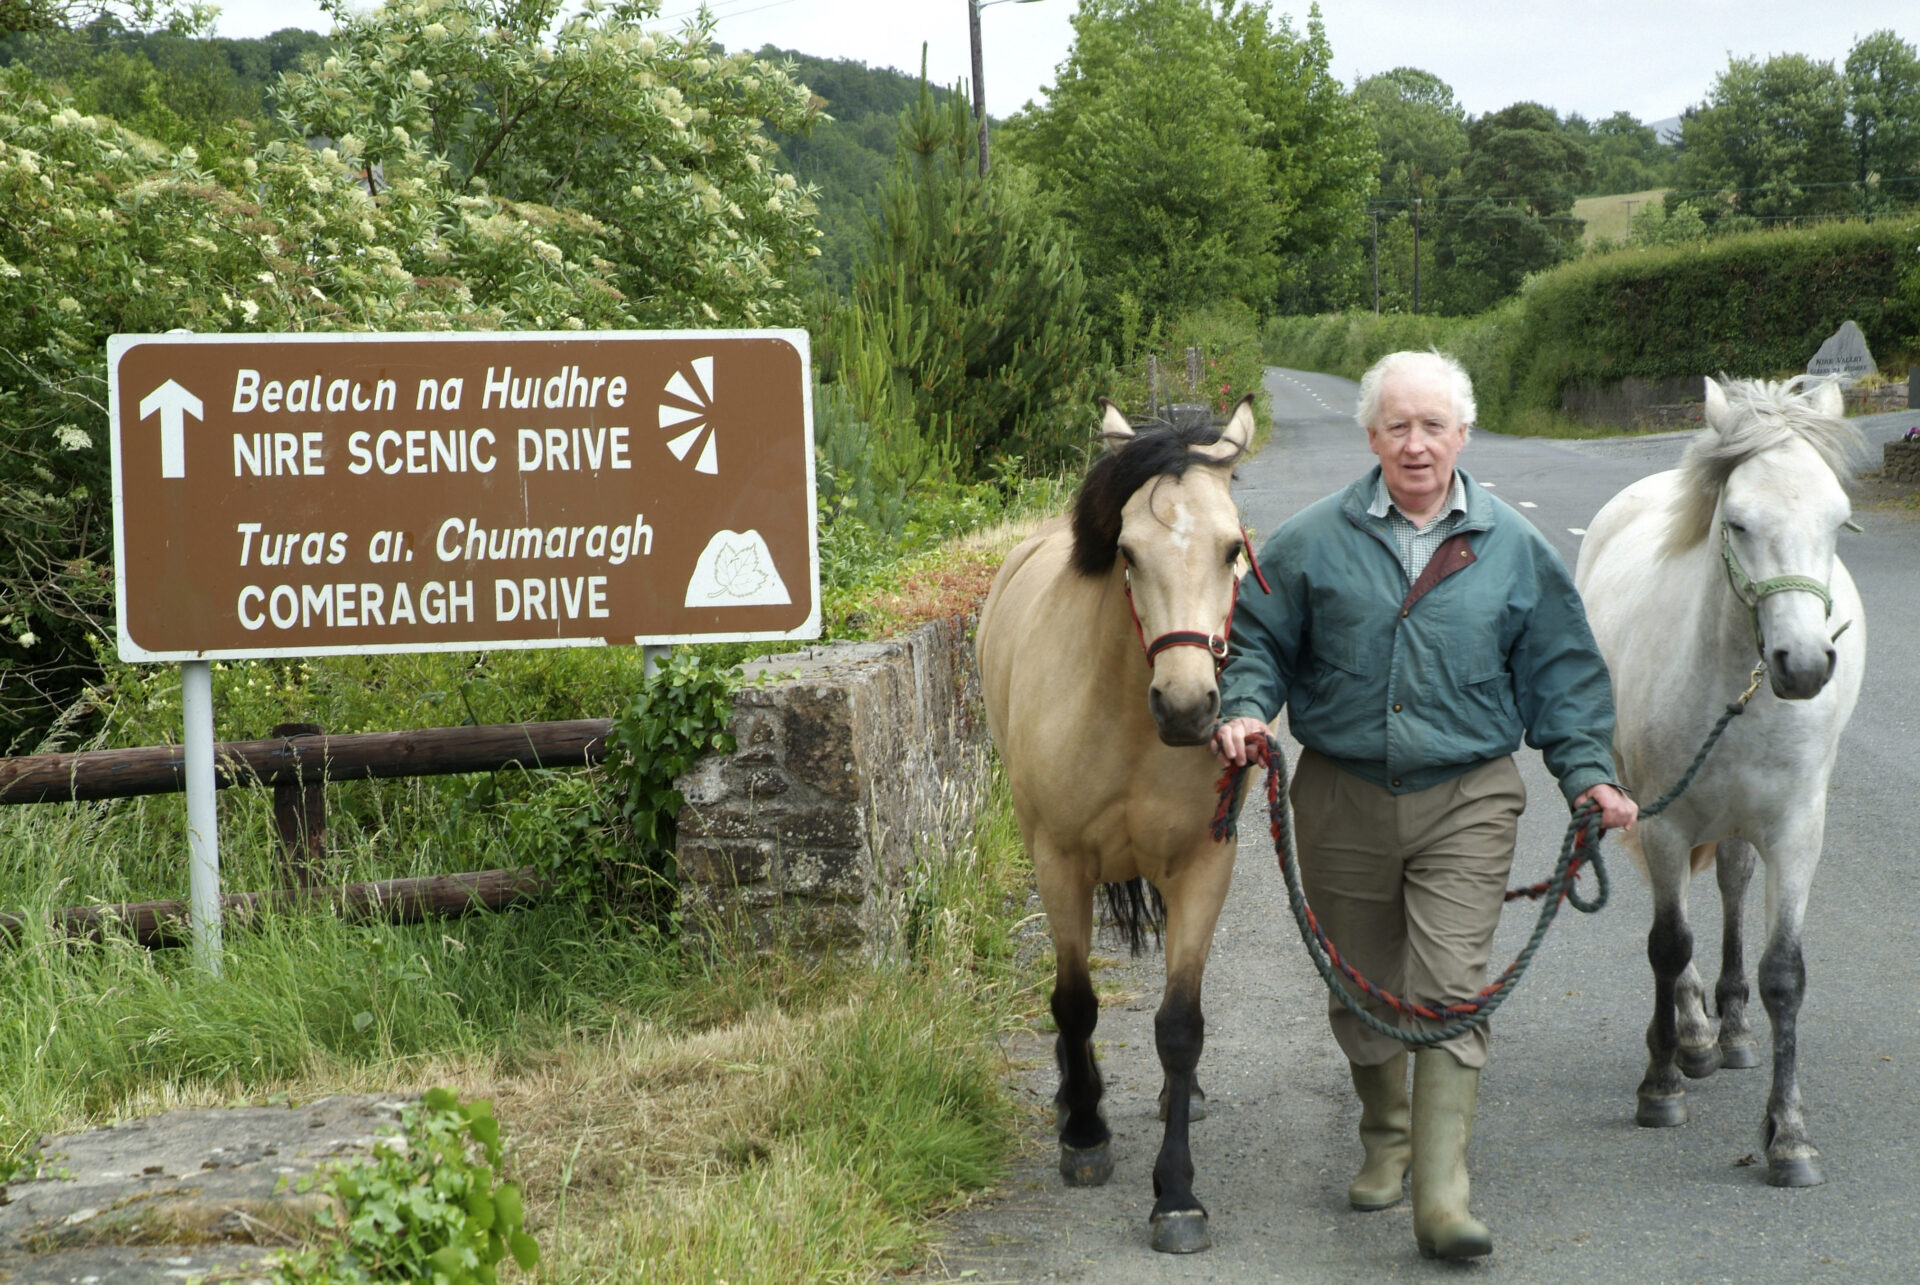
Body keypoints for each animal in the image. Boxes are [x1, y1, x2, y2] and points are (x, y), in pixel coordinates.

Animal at [975, 393, 1259, 1252]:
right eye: (1127, 551)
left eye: (1233, 548)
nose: (1188, 706)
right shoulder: (1058, 862)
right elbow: (1074, 1002)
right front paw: (1085, 1134)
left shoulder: (1204, 864)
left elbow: (1179, 1024)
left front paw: (1177, 1194)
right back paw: (1075, 1101)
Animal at [1574, 376, 1858, 1190]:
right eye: (1736, 522)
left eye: (1839, 522)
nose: (1804, 664)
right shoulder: (1664, 821)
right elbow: (1668, 944)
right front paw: (1662, 1082)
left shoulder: (1796, 830)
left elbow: (1784, 973)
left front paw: (1789, 1134)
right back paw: (1696, 1033)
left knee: (1732, 881)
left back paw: (1729, 1026)